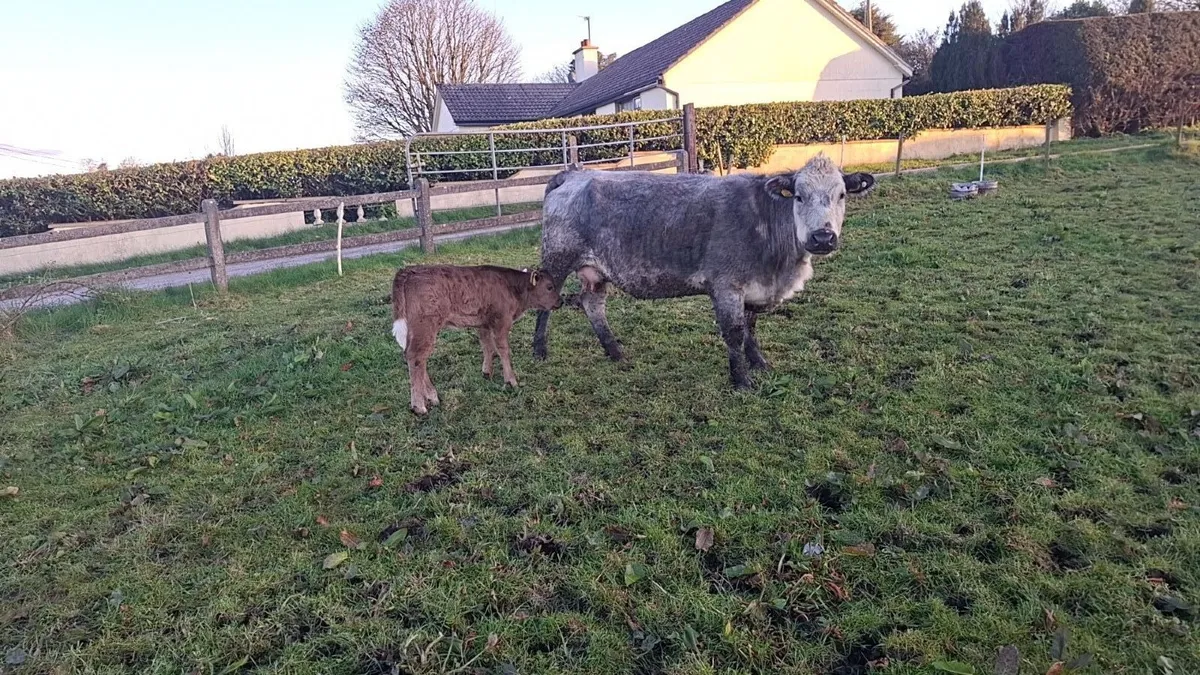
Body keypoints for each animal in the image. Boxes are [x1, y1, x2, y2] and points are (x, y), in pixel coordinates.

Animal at [391, 265, 562, 414]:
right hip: (425, 325)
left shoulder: (483, 324)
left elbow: (487, 347)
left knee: (415, 357)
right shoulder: (501, 322)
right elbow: (503, 350)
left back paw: (432, 397)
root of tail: (408, 271)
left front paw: (487, 372)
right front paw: (511, 381)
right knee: (416, 357)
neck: (512, 288)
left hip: (416, 329)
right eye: (549, 287)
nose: (561, 301)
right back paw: (419, 406)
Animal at [532, 154, 875, 390]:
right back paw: (539, 351)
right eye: (799, 196)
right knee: (545, 303)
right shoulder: (726, 286)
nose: (823, 237)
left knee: (593, 305)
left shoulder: (753, 288)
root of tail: (575, 174)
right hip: (558, 258)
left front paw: (759, 363)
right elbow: (734, 332)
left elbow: (751, 328)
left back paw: (615, 351)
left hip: (595, 271)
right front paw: (741, 381)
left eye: (842, 195)